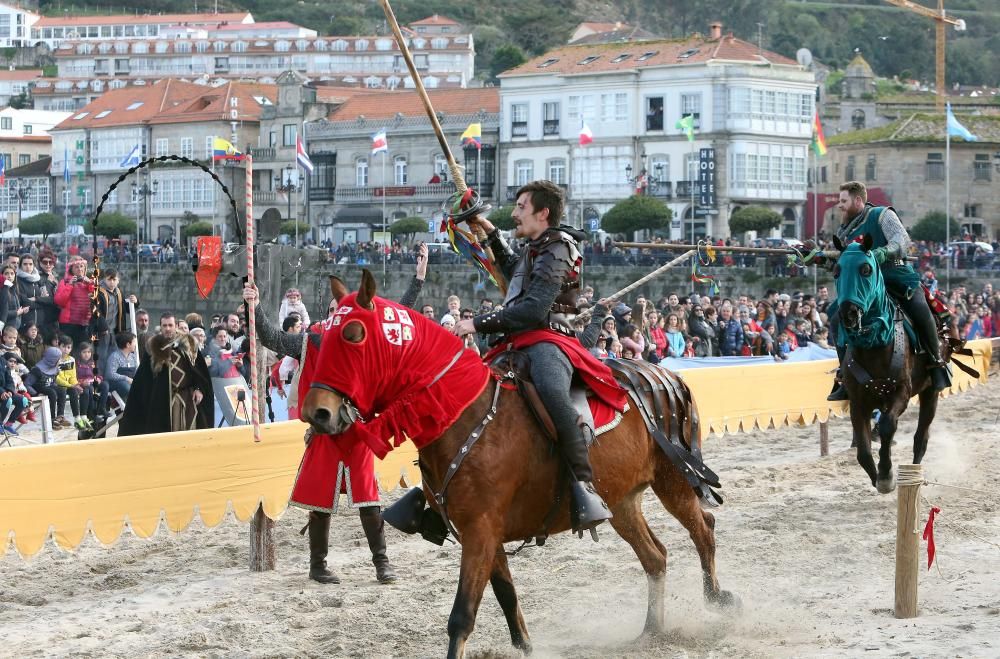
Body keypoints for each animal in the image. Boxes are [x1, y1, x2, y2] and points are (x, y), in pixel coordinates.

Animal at [298, 272, 736, 659]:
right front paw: (525, 645)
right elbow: (506, 596)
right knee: (655, 557)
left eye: (354, 334)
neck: (465, 415)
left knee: (703, 530)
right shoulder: (484, 534)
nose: (317, 412)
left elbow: (462, 616)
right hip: (621, 501)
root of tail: (663, 374)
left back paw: (717, 598)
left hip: (672, 479)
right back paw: (651, 630)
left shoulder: (480, 532)